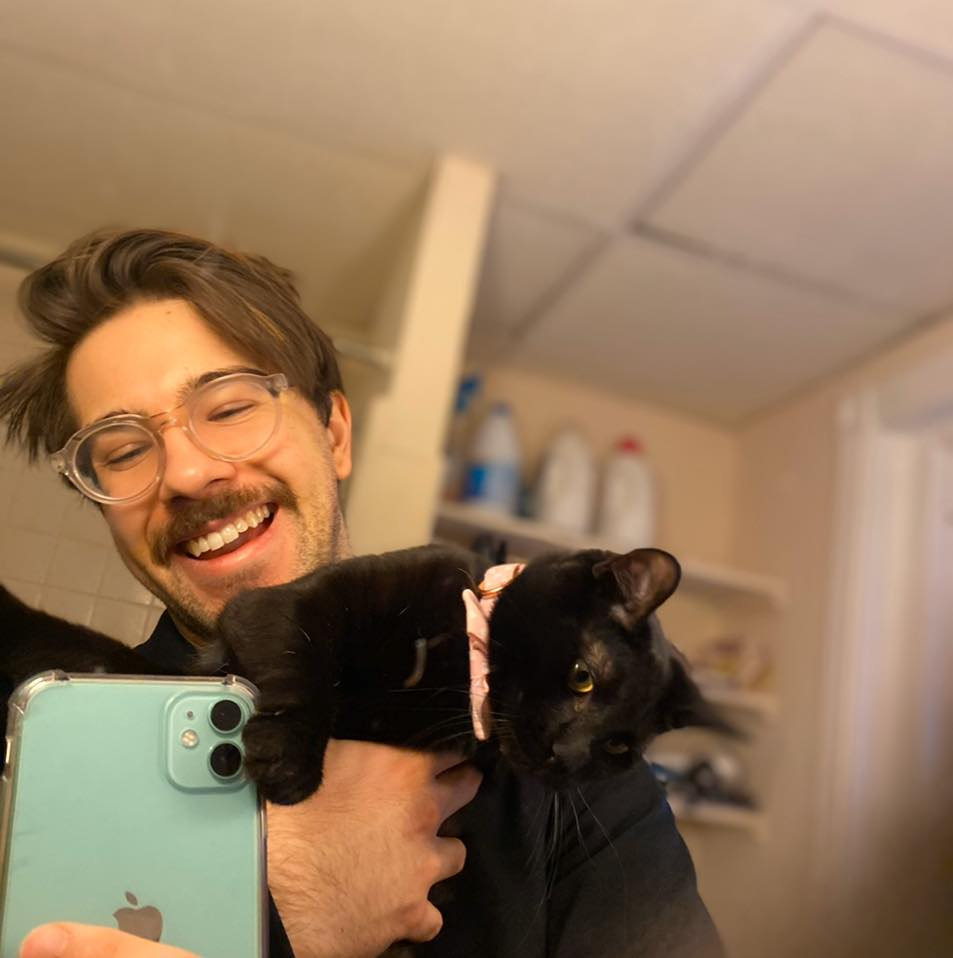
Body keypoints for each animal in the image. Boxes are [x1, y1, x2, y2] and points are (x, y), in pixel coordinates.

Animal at [0, 544, 729, 803]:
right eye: (583, 677)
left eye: (618, 750)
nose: (564, 755)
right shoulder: (278, 607)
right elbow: (301, 661)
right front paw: (289, 760)